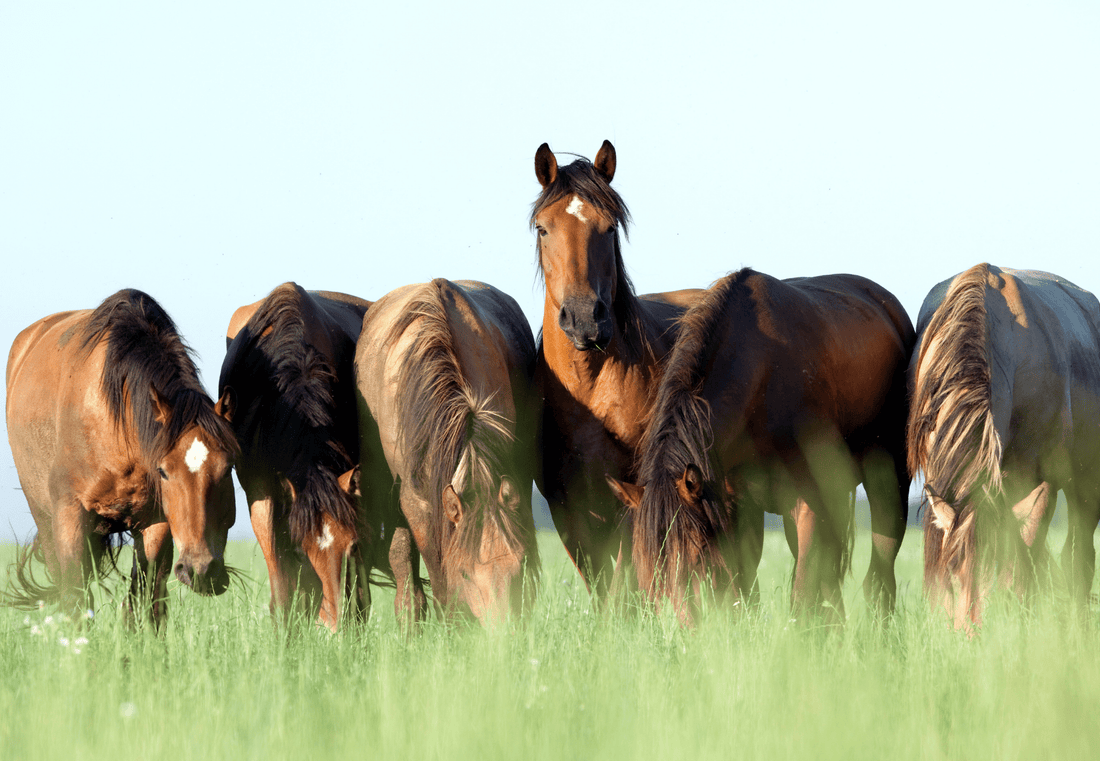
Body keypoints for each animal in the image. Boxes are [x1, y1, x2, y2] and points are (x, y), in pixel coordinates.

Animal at [5, 289, 237, 628]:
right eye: (163, 471)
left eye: (229, 467)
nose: (202, 571)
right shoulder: (70, 514)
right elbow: (75, 597)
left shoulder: (156, 523)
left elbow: (145, 601)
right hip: (45, 518)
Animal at [531, 140, 703, 602]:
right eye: (543, 228)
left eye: (609, 228)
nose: (583, 319)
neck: (590, 389)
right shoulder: (567, 506)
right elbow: (600, 581)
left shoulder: (632, 492)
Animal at [609, 269, 913, 626]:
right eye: (646, 567)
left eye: (696, 555)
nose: (683, 631)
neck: (761, 378)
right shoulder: (736, 507)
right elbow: (744, 587)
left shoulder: (809, 503)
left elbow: (803, 594)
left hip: (888, 486)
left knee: (879, 572)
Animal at [907, 263, 1100, 630]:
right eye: (954, 569)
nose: (972, 635)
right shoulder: (938, 475)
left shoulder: (1042, 484)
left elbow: (1024, 562)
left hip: (1085, 485)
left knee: (1079, 557)